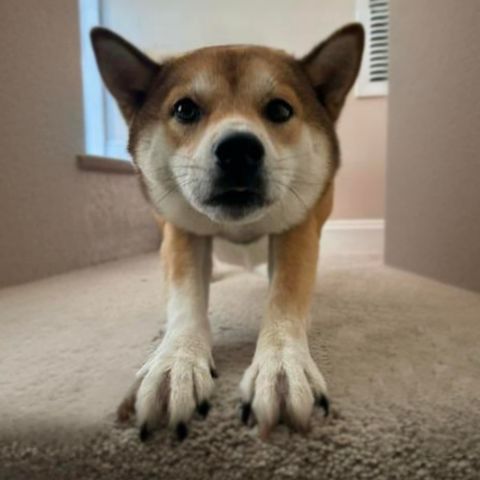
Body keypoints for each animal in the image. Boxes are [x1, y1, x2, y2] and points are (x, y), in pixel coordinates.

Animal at [91, 23, 364, 441]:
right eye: (184, 109)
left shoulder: (299, 225)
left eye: (280, 109)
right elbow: (184, 299)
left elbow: (286, 297)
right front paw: (176, 362)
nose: (238, 150)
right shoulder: (182, 230)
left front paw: (281, 365)